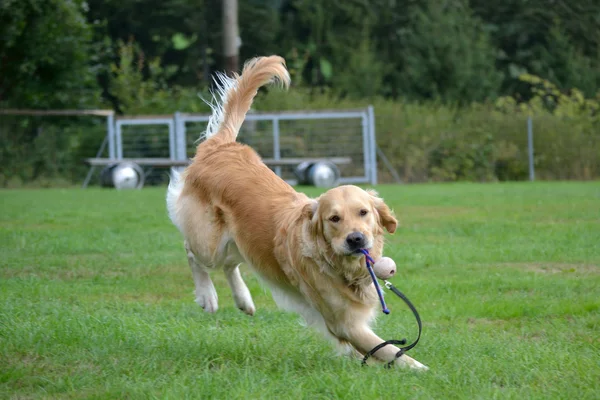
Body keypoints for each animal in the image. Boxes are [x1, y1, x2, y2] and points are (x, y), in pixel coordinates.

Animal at [165, 54, 426, 370]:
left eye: (363, 212)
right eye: (334, 219)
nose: (356, 240)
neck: (339, 266)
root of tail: (222, 146)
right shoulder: (345, 323)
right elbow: (392, 352)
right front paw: (425, 371)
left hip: (245, 242)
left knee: (230, 264)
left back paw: (243, 300)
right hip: (210, 243)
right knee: (191, 251)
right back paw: (208, 296)